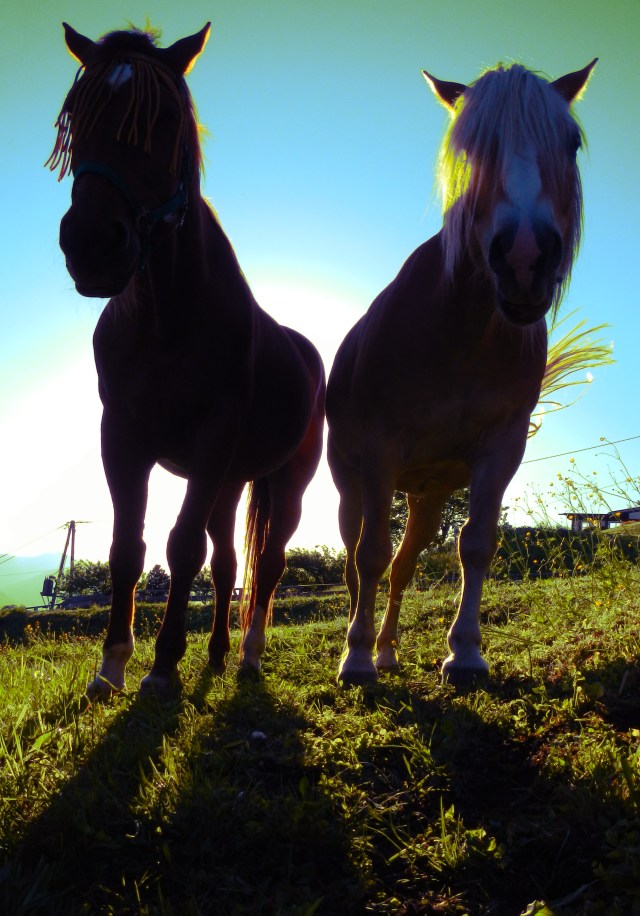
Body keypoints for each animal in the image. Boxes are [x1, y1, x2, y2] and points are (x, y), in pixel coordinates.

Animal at [47, 23, 325, 698]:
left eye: (167, 119)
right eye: (76, 116)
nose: (91, 245)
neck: (167, 319)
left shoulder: (210, 439)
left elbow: (180, 548)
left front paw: (163, 665)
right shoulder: (122, 437)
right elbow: (129, 547)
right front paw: (112, 665)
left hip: (284, 480)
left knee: (268, 564)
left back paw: (248, 655)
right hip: (230, 481)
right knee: (228, 563)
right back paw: (219, 653)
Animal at [326, 58, 597, 686]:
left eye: (570, 143)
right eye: (470, 148)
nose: (524, 258)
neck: (462, 332)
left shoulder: (501, 448)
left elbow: (475, 546)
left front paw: (466, 652)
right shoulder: (379, 452)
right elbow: (370, 556)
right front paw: (356, 659)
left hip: (426, 500)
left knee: (403, 568)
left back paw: (389, 649)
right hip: (350, 483)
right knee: (357, 560)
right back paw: (361, 645)